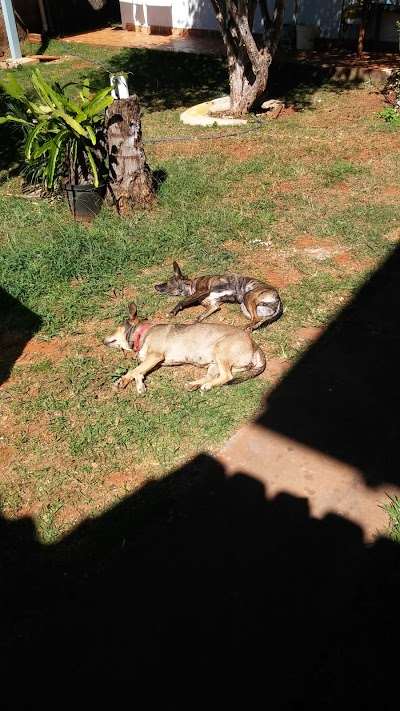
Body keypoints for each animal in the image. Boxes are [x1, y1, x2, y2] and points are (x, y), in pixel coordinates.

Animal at [103, 302, 266, 394]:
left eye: (116, 328)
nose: (103, 340)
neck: (143, 333)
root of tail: (255, 346)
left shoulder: (155, 356)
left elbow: (134, 371)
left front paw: (125, 382)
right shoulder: (152, 361)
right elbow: (138, 372)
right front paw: (136, 385)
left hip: (221, 350)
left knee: (227, 376)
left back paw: (206, 386)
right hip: (215, 364)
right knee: (214, 376)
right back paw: (194, 385)